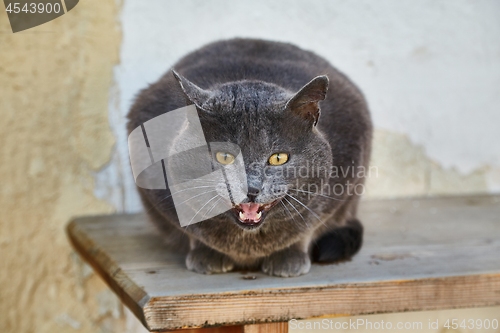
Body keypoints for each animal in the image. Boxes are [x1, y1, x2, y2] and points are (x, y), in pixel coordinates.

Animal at [127, 39, 374, 276]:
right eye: (224, 156)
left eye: (278, 158)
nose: (251, 188)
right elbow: (192, 230)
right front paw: (206, 256)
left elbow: (308, 226)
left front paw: (289, 258)